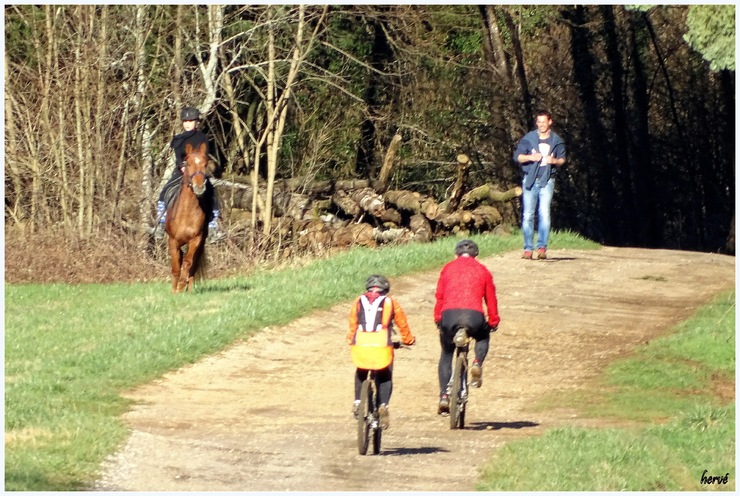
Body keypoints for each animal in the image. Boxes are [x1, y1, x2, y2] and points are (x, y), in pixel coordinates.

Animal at [166, 141, 210, 292]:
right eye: (188, 164)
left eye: (205, 164)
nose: (199, 187)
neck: (186, 213)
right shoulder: (173, 241)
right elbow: (175, 267)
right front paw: (174, 291)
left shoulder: (195, 240)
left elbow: (187, 263)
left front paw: (181, 287)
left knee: (193, 265)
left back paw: (189, 289)